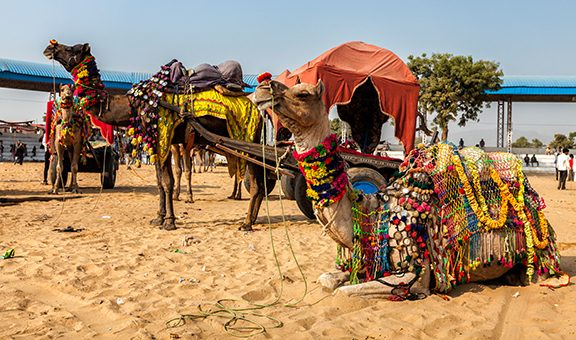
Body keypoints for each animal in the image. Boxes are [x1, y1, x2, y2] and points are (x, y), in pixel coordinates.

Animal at [254, 79, 564, 298]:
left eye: (303, 94)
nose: (262, 87)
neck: (371, 215)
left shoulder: (416, 272)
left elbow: (344, 292)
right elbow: (328, 280)